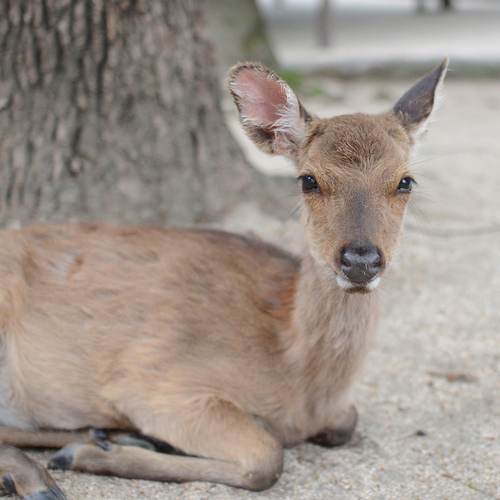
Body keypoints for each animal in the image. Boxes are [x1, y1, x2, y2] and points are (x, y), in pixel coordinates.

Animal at [0, 56, 446, 498]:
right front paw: (91, 454)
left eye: (405, 180)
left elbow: (346, 422)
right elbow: (267, 459)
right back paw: (47, 472)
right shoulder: (152, 382)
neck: (300, 384)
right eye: (309, 180)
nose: (360, 260)